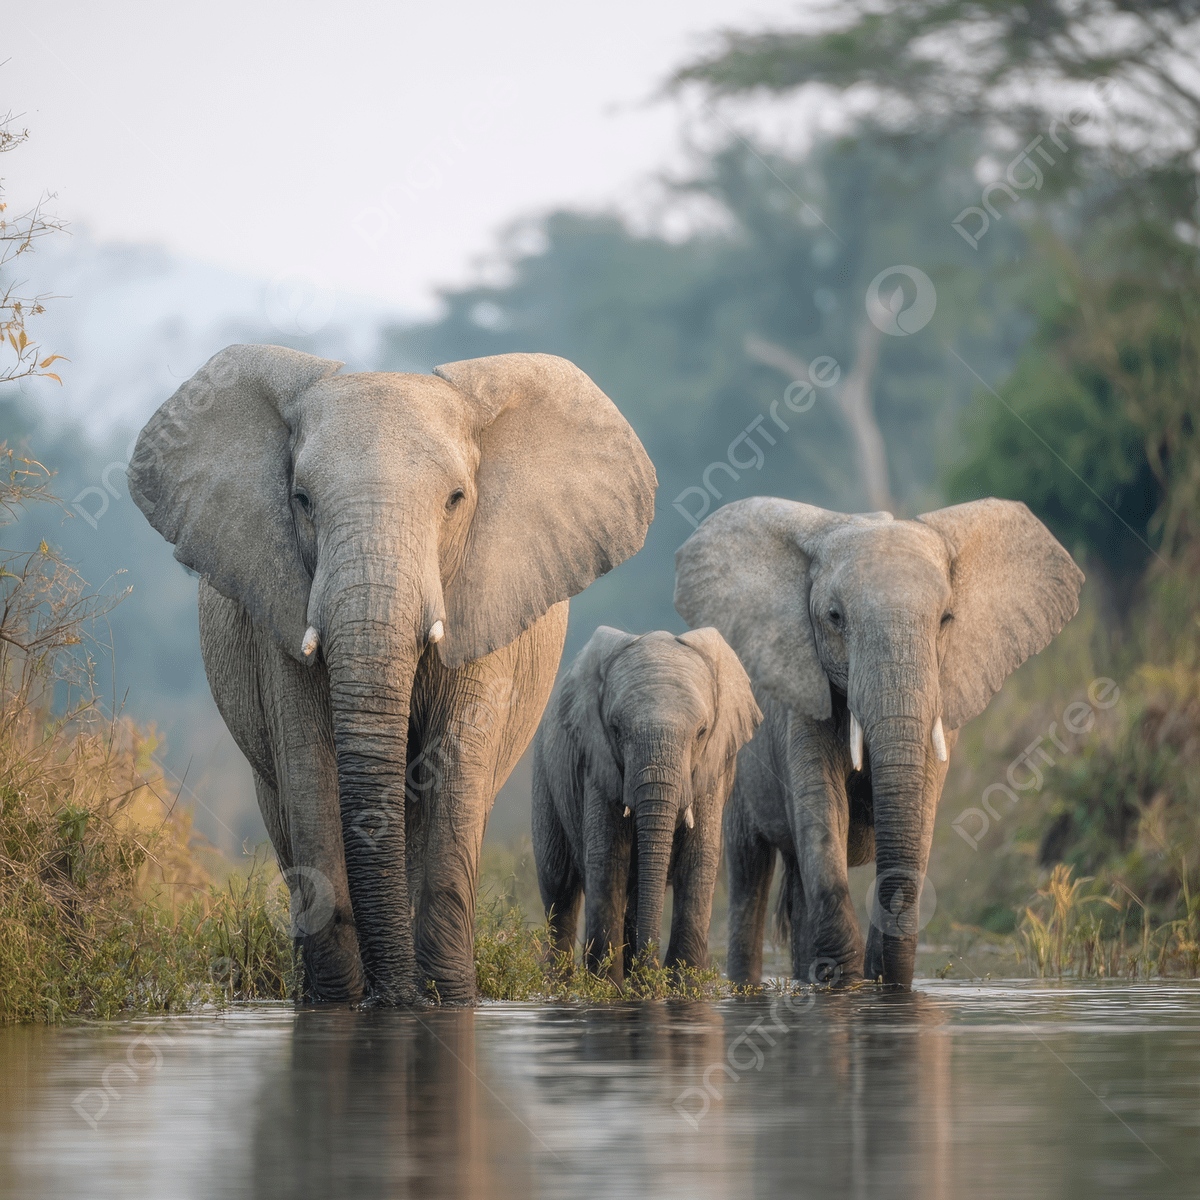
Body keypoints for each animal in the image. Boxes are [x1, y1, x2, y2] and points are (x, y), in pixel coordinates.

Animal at [128, 344, 656, 1004]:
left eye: (456, 499)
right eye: (301, 500)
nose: (394, 997)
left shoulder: (484, 601)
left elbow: (456, 772)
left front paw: (443, 1000)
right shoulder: (281, 616)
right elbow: (309, 771)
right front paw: (340, 1003)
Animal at [532, 626, 761, 980]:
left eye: (701, 732)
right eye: (615, 729)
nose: (649, 971)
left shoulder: (712, 768)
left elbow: (699, 861)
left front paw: (683, 985)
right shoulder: (599, 762)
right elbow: (608, 859)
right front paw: (607, 986)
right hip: (544, 773)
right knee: (559, 888)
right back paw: (563, 982)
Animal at [674, 496, 1084, 989]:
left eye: (946, 620)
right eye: (835, 618)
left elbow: (920, 811)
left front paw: (878, 983)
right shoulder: (801, 702)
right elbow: (822, 808)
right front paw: (847, 982)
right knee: (749, 868)